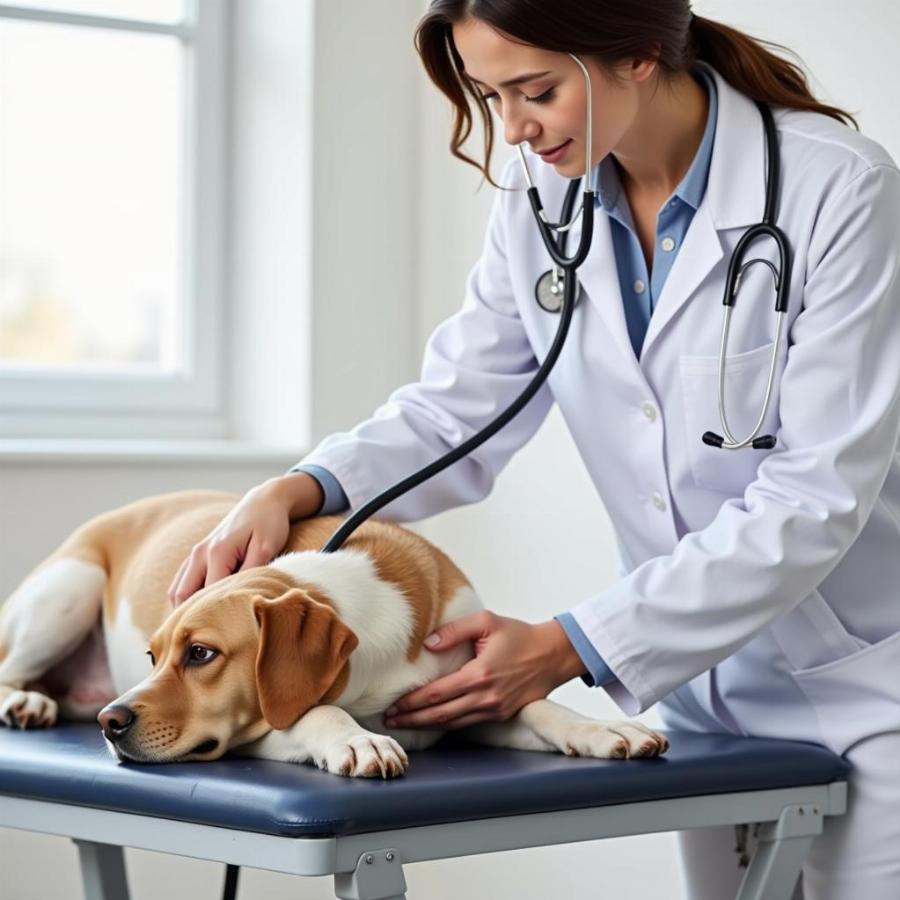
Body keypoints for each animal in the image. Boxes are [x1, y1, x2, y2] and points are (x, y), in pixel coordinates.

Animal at [0, 488, 668, 776]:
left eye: (200, 654)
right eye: (151, 656)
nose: (110, 722)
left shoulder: (470, 697)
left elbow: (537, 706)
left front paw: (604, 728)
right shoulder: (261, 728)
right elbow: (318, 711)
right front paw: (359, 740)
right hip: (69, 590)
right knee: (8, 668)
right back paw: (25, 702)